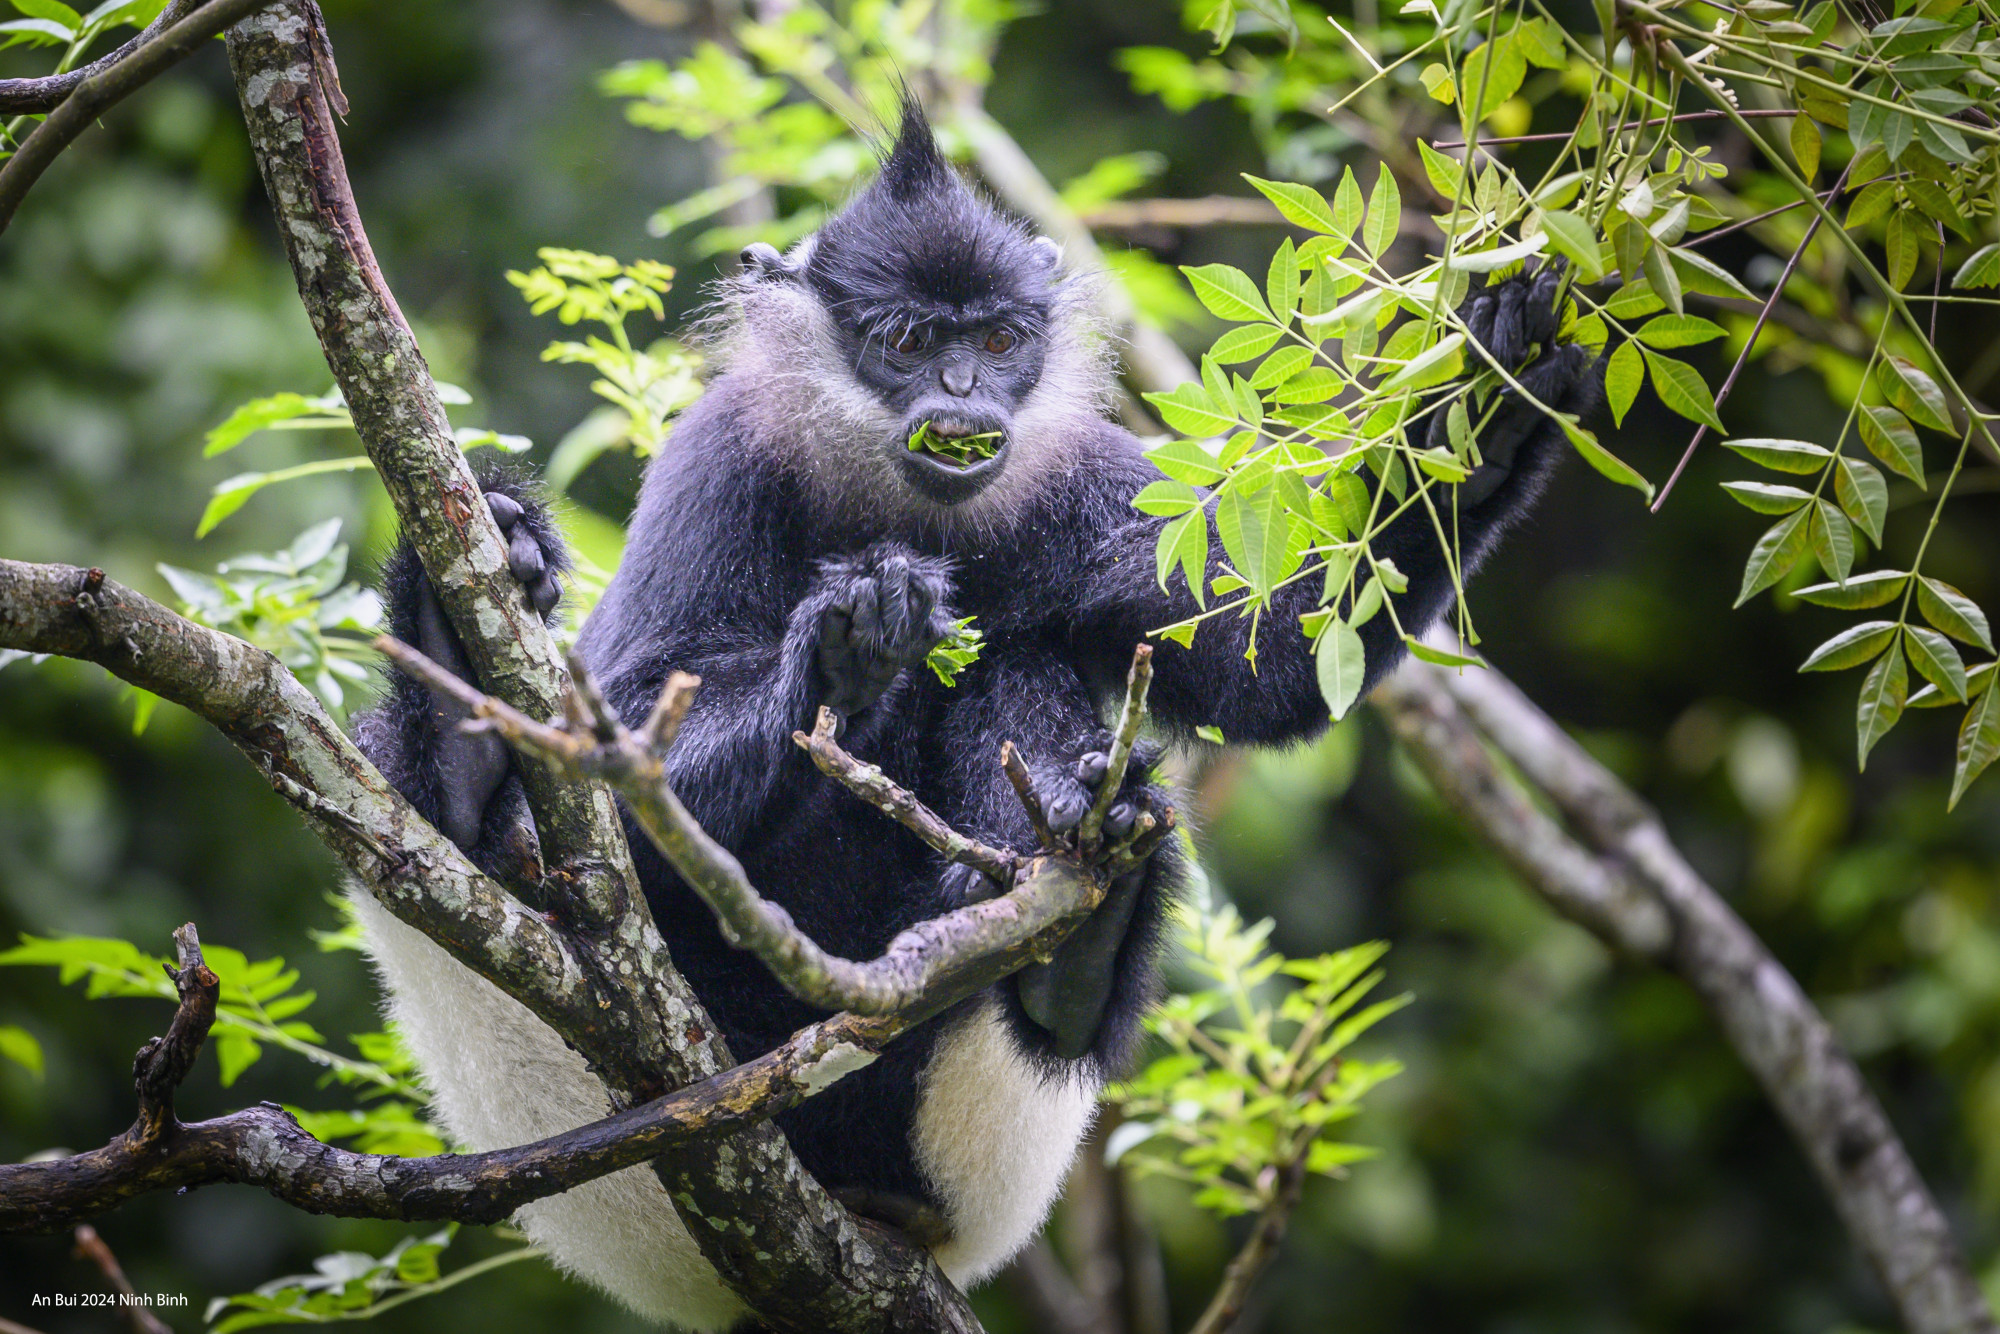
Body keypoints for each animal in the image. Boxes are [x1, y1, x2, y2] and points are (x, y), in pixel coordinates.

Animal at [344, 99, 1592, 1328]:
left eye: (996, 342)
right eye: (905, 344)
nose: (962, 397)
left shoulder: (1073, 475)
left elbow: (1269, 665)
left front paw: (1490, 394)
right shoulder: (721, 457)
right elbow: (623, 749)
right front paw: (839, 649)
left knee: (1016, 665)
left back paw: (1069, 943)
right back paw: (458, 703)